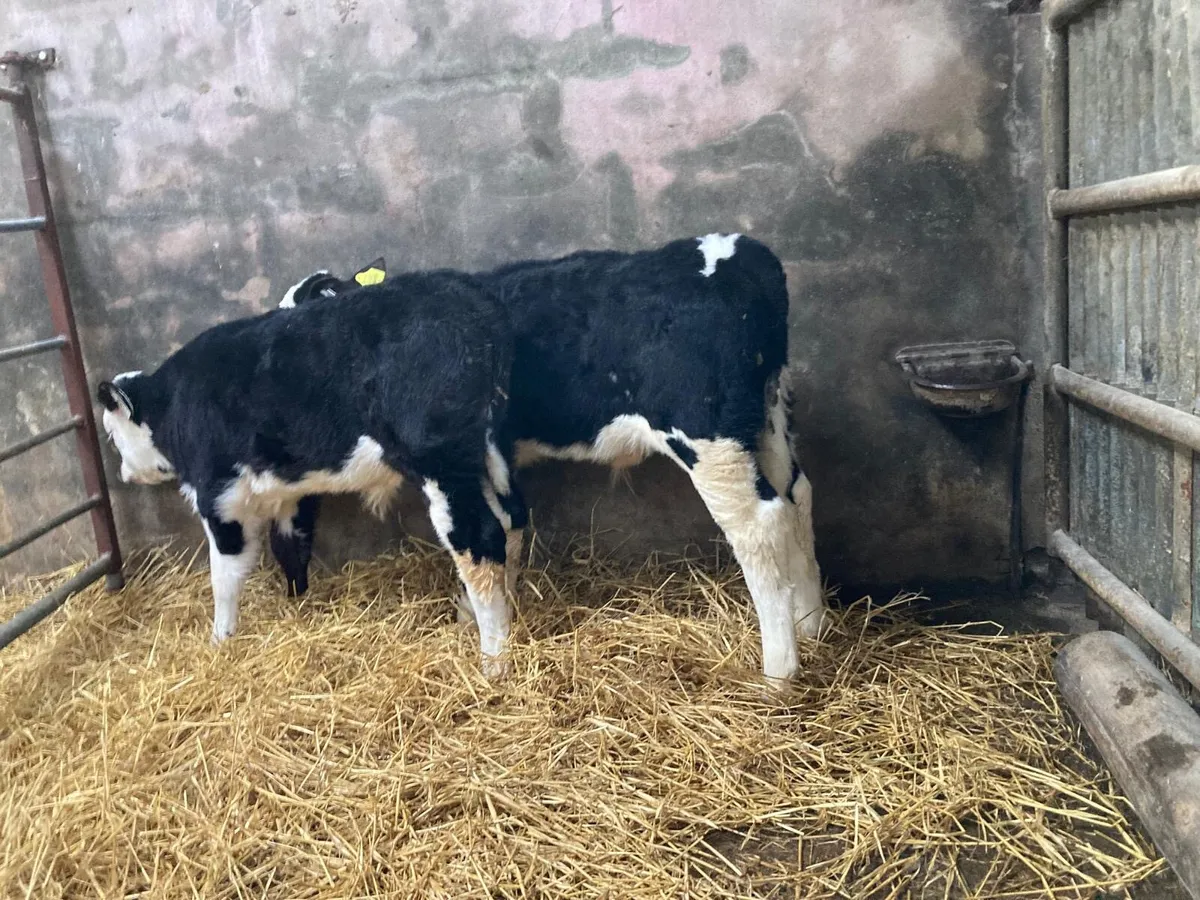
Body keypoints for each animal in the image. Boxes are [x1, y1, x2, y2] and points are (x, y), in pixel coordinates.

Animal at [96, 270, 525, 676]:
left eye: (112, 436)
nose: (123, 473)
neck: (175, 406)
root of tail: (466, 294)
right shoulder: (290, 492)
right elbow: (291, 546)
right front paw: (296, 605)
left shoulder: (219, 496)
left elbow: (225, 576)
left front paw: (220, 640)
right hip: (490, 451)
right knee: (511, 520)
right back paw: (492, 615)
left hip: (441, 461)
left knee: (480, 540)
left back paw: (494, 659)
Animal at [272, 234, 827, 682]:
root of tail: (741, 256)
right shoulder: (492, 453)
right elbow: (508, 527)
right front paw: (480, 620)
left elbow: (483, 534)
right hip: (768, 418)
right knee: (796, 497)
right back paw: (813, 627)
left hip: (708, 435)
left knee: (758, 525)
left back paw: (778, 673)